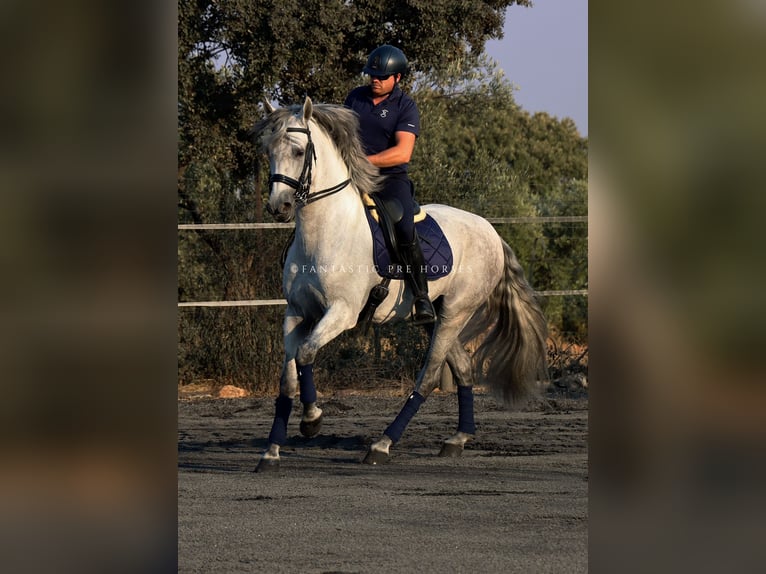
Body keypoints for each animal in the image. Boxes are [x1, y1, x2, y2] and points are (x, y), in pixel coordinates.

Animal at [252, 97, 548, 471]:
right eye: (267, 150)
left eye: (298, 150)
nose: (280, 207)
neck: (324, 232)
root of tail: (491, 231)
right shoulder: (296, 313)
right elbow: (288, 379)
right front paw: (271, 452)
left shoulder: (342, 312)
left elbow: (306, 353)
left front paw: (312, 420)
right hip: (438, 315)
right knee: (462, 368)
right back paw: (457, 439)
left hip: (457, 311)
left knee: (430, 375)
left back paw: (382, 445)